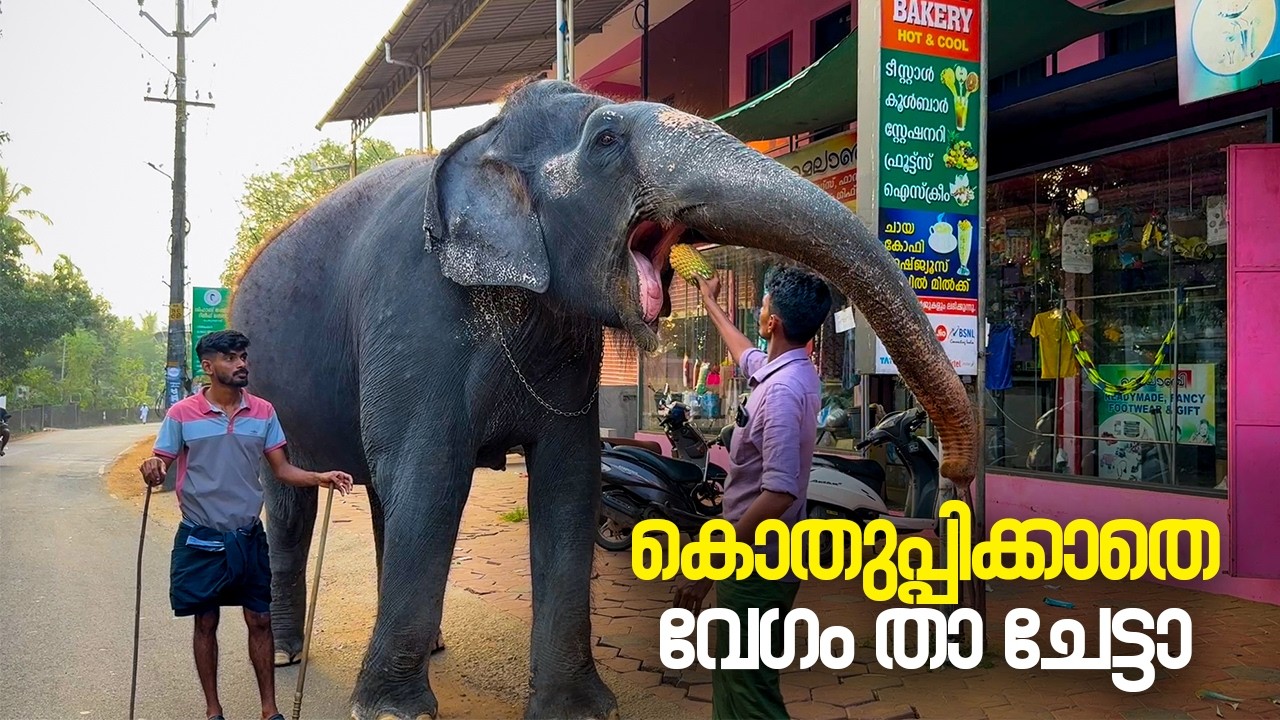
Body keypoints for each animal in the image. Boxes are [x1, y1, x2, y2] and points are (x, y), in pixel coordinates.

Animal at [228, 77, 977, 720]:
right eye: (608, 140)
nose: (959, 472)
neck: (489, 133)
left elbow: (569, 480)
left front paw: (580, 710)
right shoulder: (416, 312)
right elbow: (434, 476)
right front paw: (390, 713)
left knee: (387, 498)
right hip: (263, 382)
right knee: (293, 502)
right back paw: (290, 651)